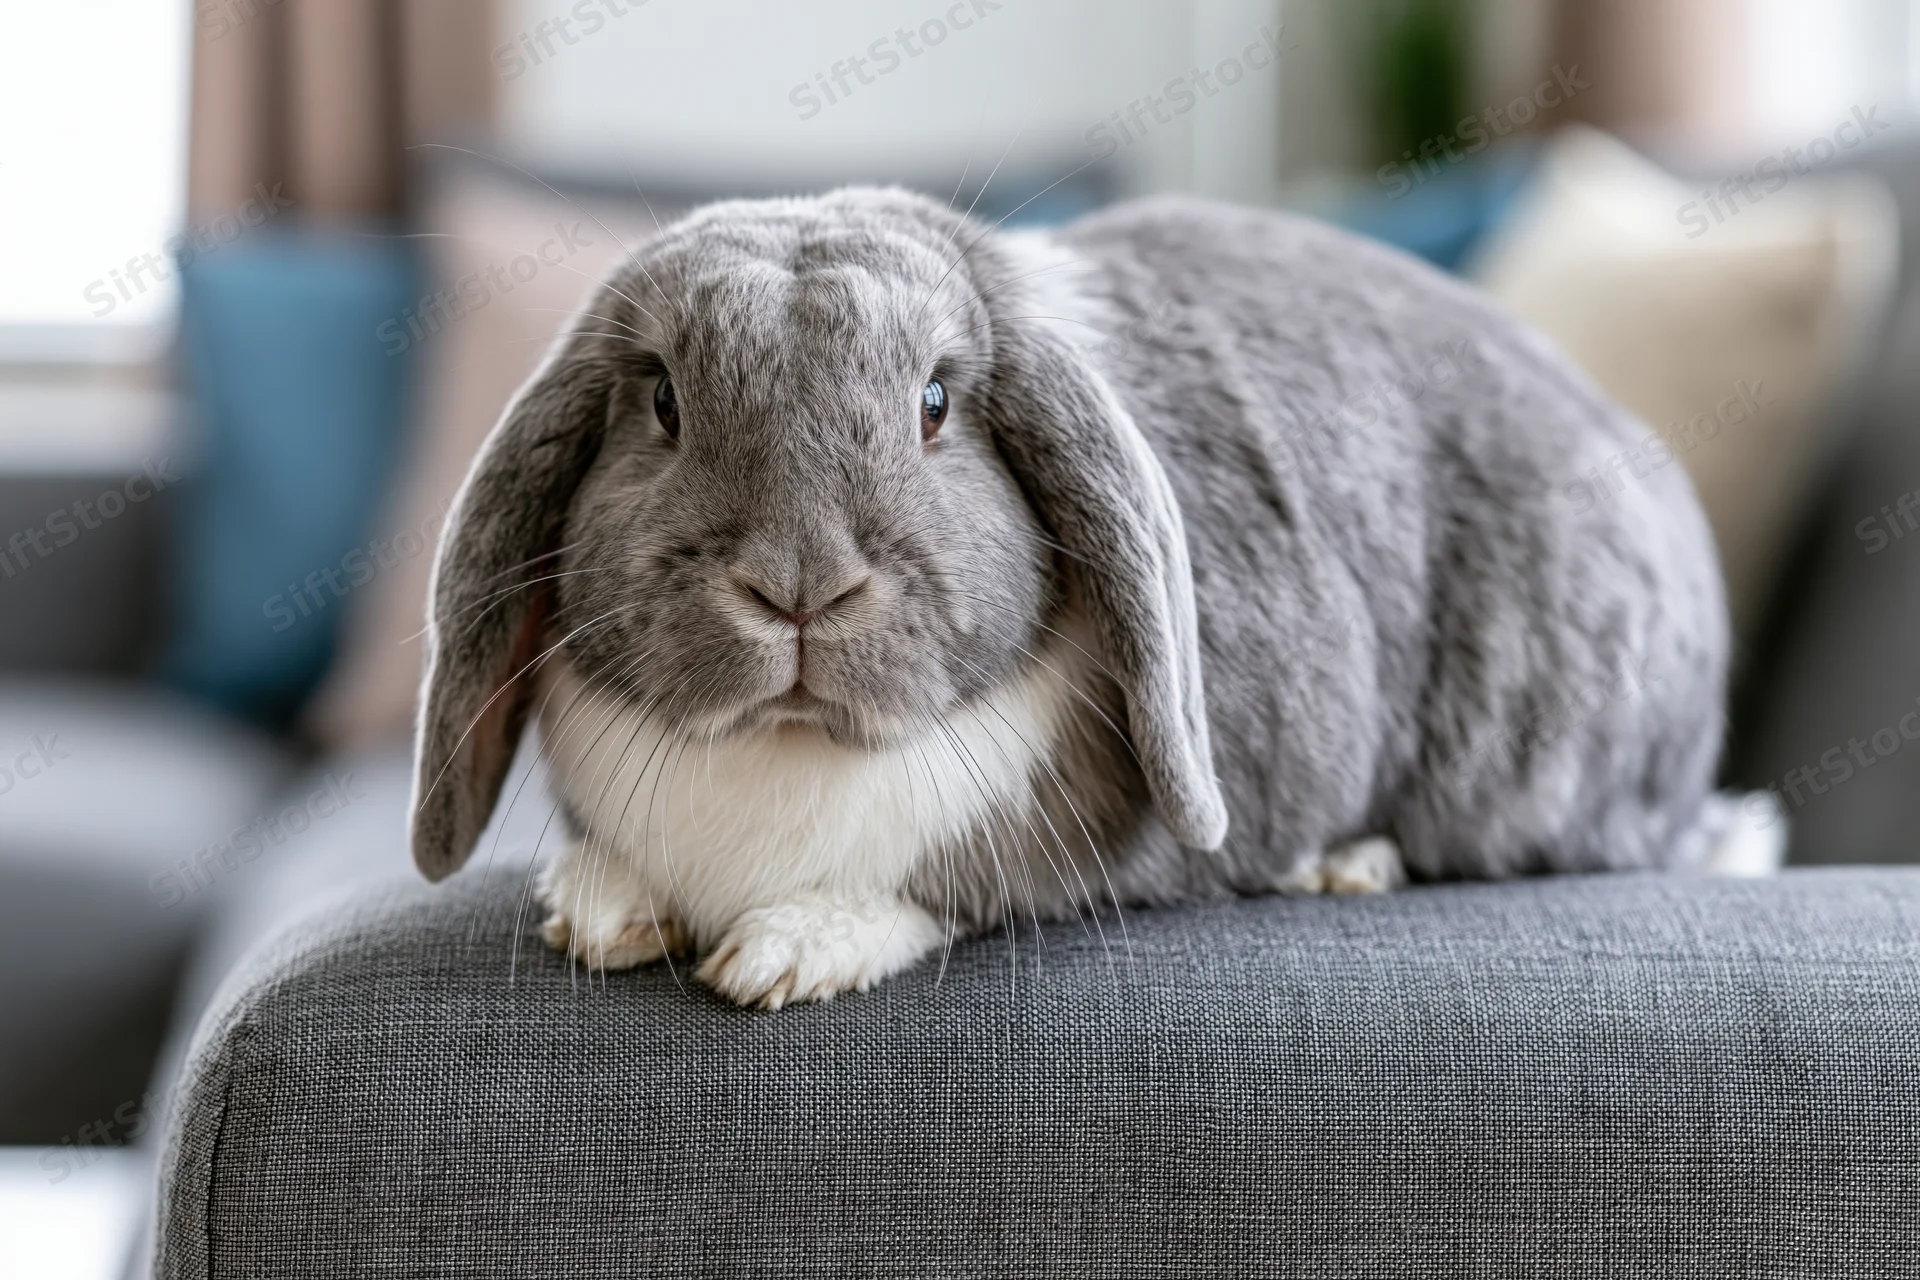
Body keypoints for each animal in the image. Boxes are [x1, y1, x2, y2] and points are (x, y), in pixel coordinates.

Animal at [411, 186, 1767, 1010]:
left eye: (936, 403)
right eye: (662, 401)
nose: (800, 586)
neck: (789, 748)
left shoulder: (1045, 835)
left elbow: (941, 888)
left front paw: (780, 955)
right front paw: (597, 914)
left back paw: (1350, 864)